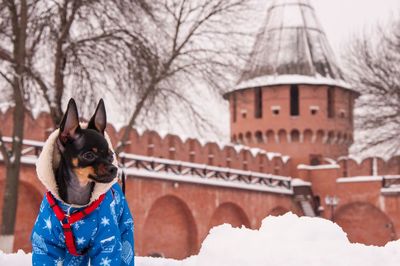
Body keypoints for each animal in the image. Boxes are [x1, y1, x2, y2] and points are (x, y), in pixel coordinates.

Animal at [30, 98, 136, 264]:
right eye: (89, 155)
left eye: (111, 155)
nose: (114, 168)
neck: (75, 203)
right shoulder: (45, 243)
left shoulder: (107, 242)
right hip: (75, 255)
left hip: (125, 230)